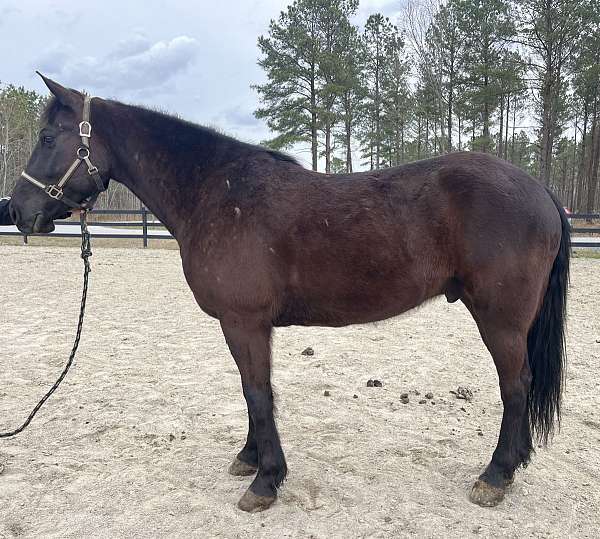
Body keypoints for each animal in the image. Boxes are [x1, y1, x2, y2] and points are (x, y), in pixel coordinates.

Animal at [10, 75, 572, 510]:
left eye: (47, 136)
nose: (16, 210)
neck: (216, 191)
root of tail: (541, 190)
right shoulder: (246, 326)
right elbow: (254, 391)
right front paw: (249, 459)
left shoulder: (244, 322)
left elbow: (257, 393)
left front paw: (266, 481)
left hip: (499, 319)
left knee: (516, 386)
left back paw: (495, 477)